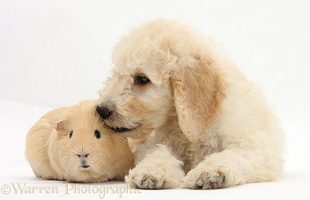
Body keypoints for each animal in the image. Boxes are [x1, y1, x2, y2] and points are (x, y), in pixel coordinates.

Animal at [97, 18, 286, 189]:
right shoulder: (149, 144)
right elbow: (157, 153)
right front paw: (152, 171)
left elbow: (232, 155)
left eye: (142, 79)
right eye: (116, 75)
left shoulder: (256, 147)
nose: (101, 110)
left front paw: (211, 171)